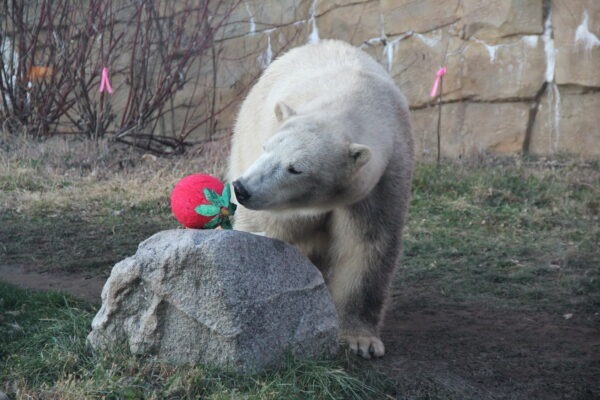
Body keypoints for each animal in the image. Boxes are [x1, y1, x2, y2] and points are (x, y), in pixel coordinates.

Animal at [227, 39, 414, 360]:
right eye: (267, 148)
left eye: (296, 168)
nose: (243, 189)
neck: (354, 97)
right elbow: (272, 231)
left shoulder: (383, 177)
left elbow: (365, 247)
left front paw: (360, 341)